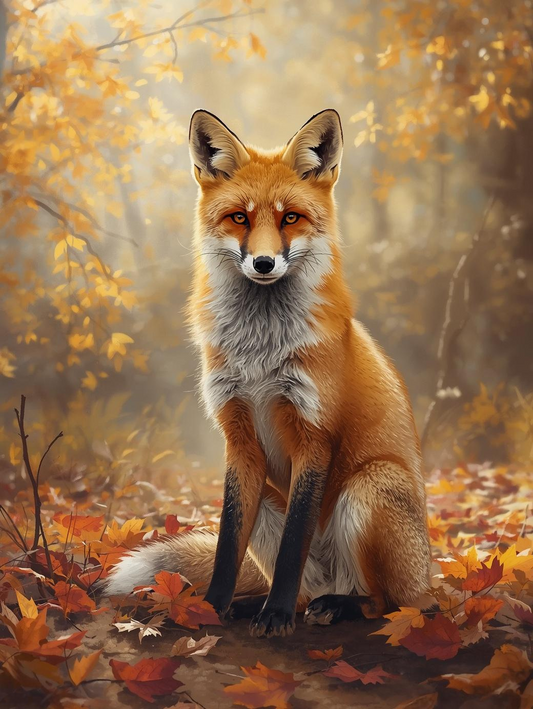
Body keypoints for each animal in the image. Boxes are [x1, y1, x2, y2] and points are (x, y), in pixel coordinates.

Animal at [105, 109, 432, 638]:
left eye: (289, 218)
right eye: (240, 217)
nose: (262, 262)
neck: (260, 354)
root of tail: (430, 576)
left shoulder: (313, 435)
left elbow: (293, 547)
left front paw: (275, 616)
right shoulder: (238, 440)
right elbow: (226, 547)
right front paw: (213, 606)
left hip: (370, 487)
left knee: (386, 603)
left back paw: (336, 607)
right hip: (269, 504)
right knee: (303, 588)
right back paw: (256, 606)